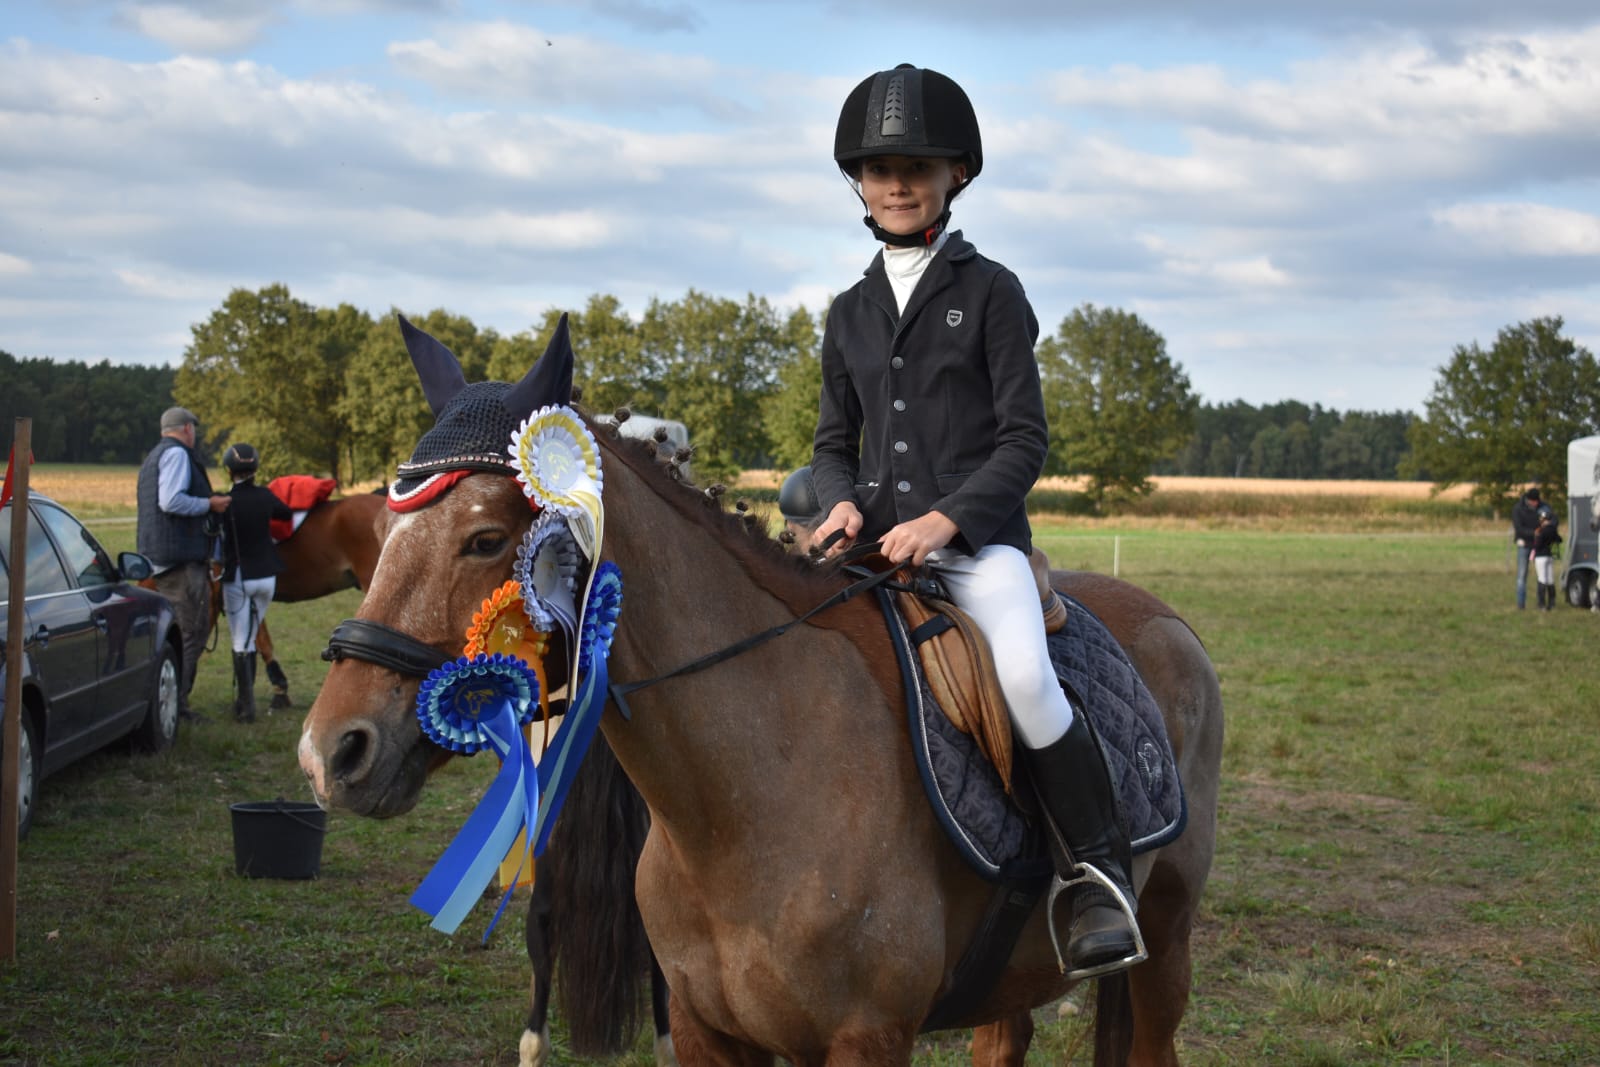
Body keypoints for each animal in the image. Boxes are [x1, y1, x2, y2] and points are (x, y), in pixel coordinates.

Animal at [296, 327, 1222, 1065]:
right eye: (384, 530)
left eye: (487, 539)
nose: (332, 751)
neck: (744, 800)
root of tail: (1168, 620)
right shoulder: (709, 1031)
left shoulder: (867, 1038)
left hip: (1167, 934)